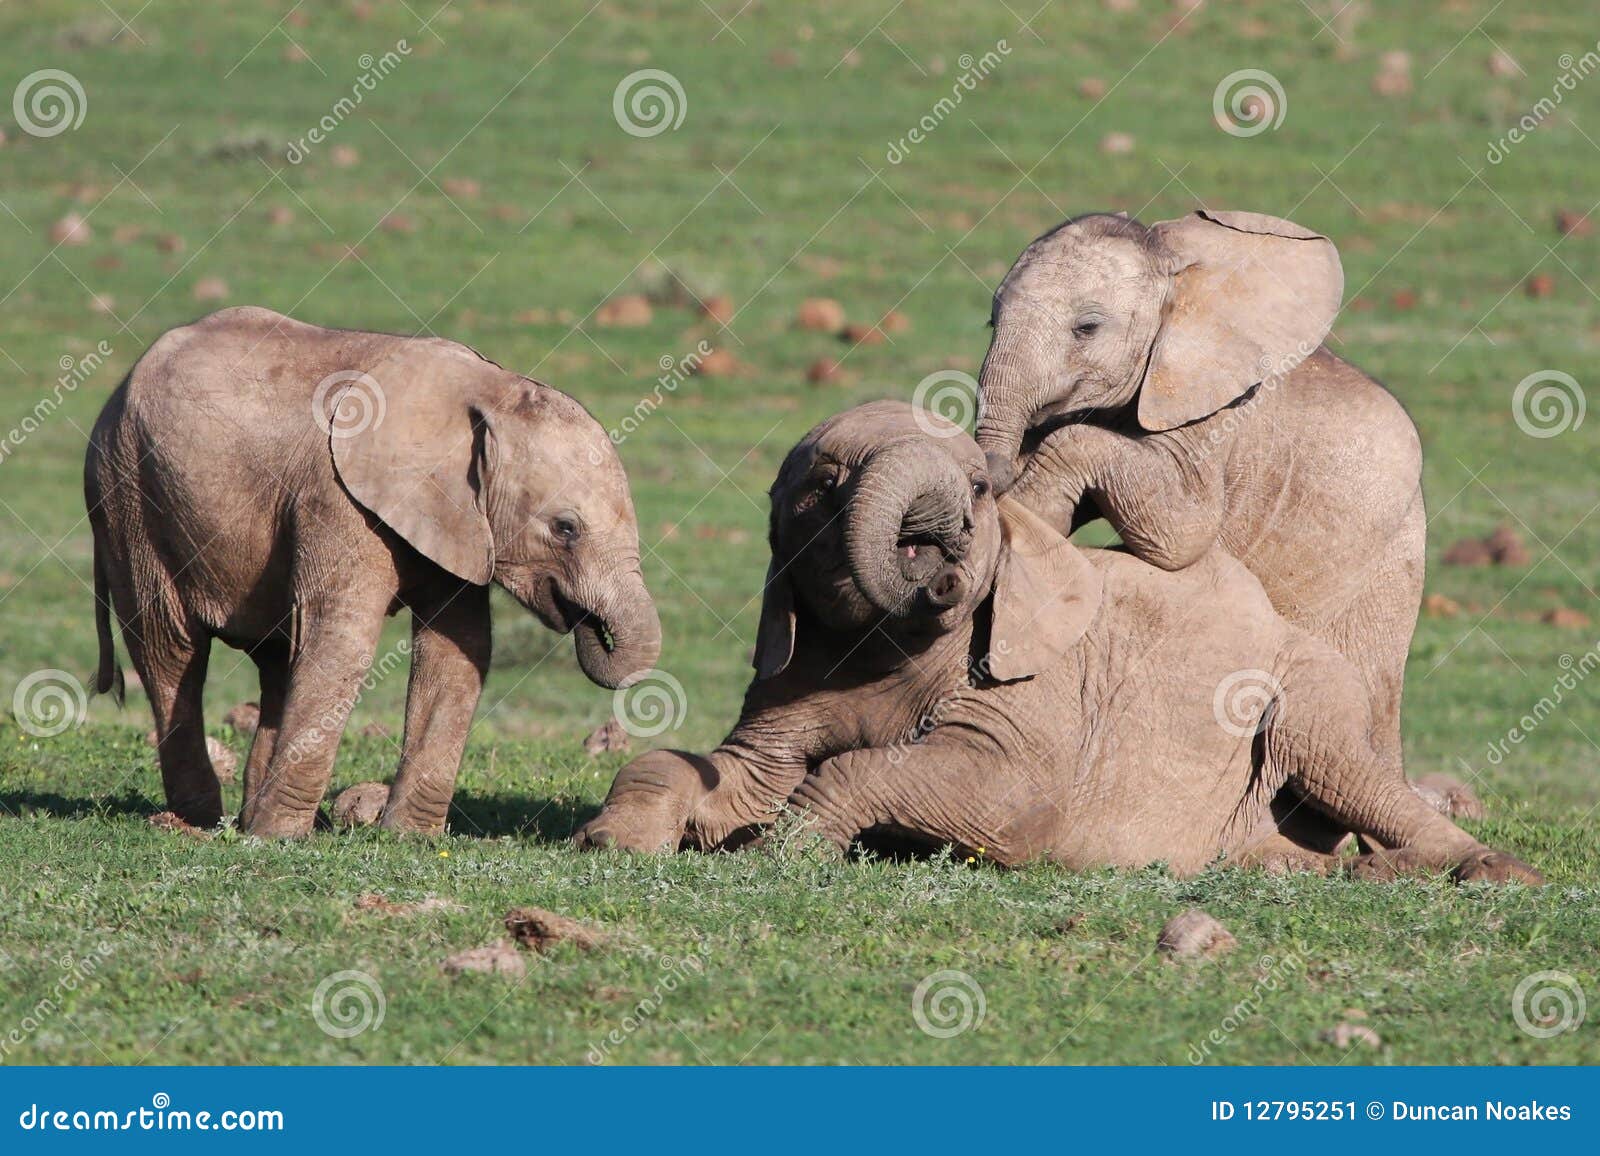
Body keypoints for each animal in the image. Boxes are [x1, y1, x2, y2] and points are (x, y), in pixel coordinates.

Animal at [86, 306, 661, 837]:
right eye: (565, 528)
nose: (589, 624)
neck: (486, 389)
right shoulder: (337, 496)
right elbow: (345, 640)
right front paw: (279, 840)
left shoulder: (454, 518)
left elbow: (459, 651)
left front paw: (408, 838)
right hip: (129, 496)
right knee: (170, 649)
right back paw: (200, 821)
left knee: (277, 658)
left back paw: (245, 817)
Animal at [575, 401, 1538, 885]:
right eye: (826, 482)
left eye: (977, 485)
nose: (945, 551)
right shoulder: (791, 672)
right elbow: (712, 766)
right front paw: (611, 840)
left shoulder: (1035, 688)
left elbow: (1002, 797)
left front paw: (779, 846)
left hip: (1315, 689)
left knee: (1340, 763)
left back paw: (1477, 872)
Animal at [974, 210, 1424, 819]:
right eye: (990, 320)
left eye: (1086, 328)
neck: (1172, 268)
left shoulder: (1213, 406)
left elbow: (1182, 536)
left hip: (1388, 563)